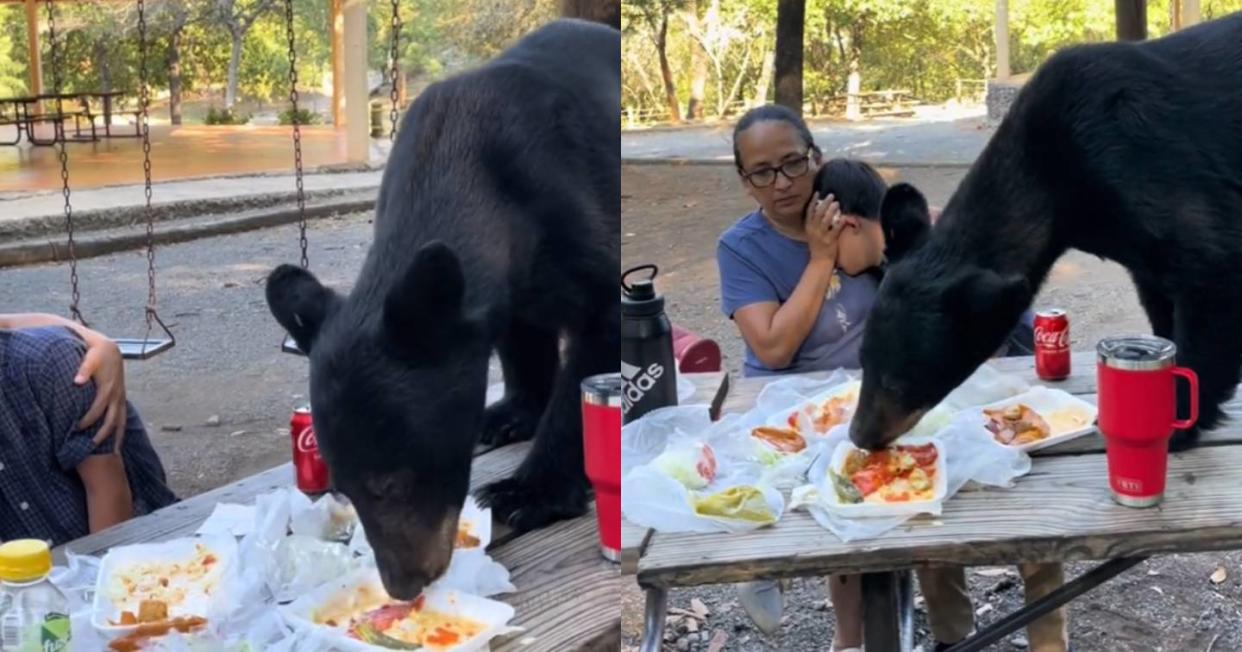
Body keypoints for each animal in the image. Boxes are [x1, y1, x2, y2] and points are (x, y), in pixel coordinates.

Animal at [263, 19, 621, 601]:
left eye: (390, 482)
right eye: (341, 487)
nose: (403, 584)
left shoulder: (572, 205)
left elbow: (597, 334)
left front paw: (528, 491)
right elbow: (519, 333)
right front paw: (510, 413)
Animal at [849, 13, 1242, 452]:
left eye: (901, 382)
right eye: (863, 361)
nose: (860, 435)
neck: (1052, 177)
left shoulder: (1146, 159)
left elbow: (1210, 269)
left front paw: (1177, 425)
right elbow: (1159, 297)